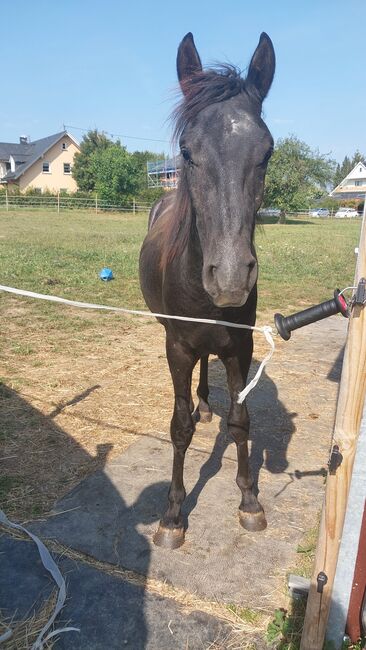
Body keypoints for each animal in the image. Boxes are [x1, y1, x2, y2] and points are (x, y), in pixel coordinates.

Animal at [140, 31, 274, 548]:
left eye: (267, 151)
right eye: (186, 150)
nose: (232, 277)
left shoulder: (239, 347)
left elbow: (242, 421)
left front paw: (250, 500)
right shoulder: (177, 346)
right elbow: (178, 429)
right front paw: (173, 514)